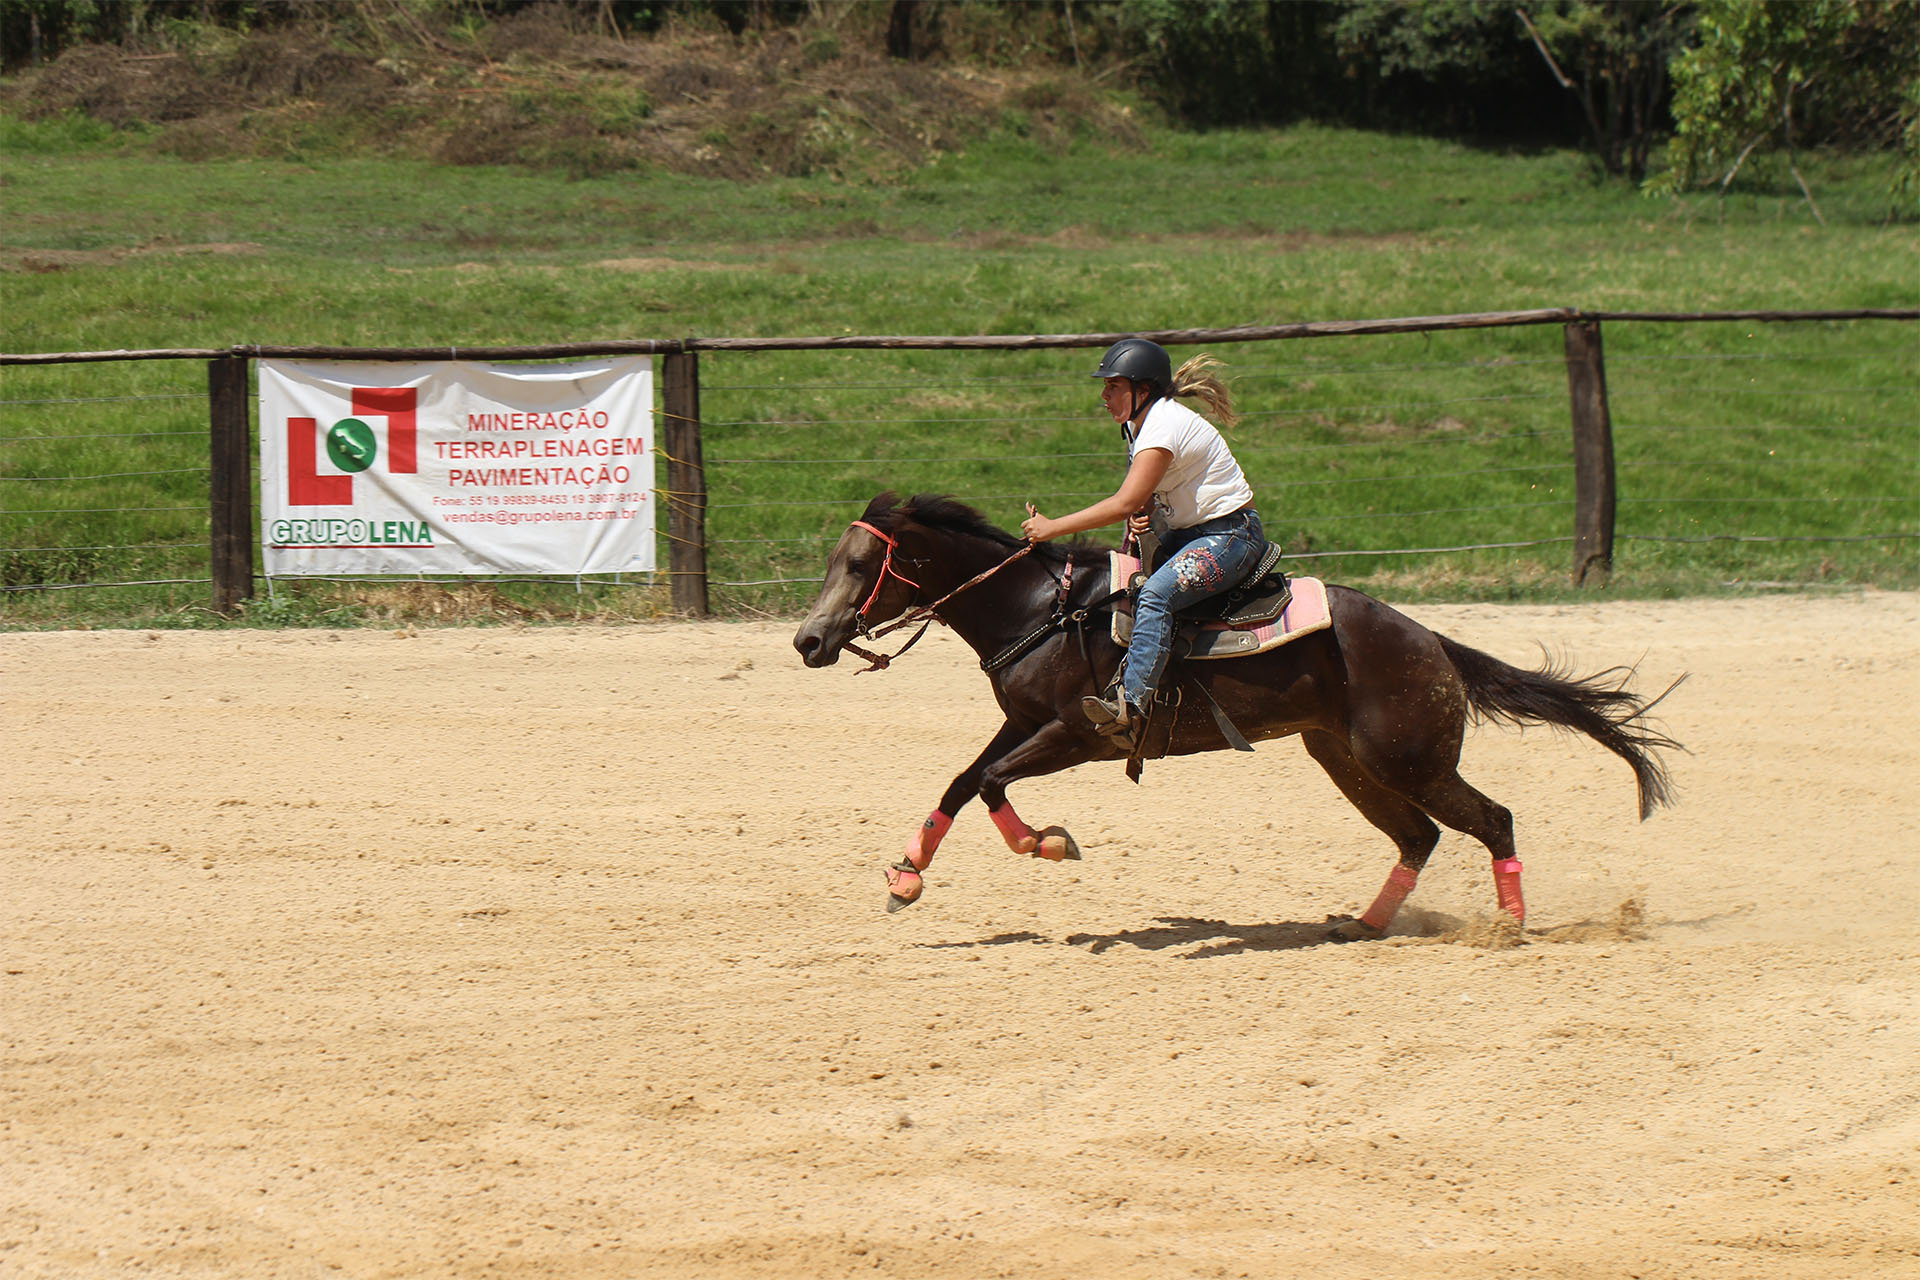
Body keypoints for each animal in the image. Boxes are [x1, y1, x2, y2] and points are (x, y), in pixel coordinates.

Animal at [792, 492, 1683, 939]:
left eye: (863, 564)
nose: (807, 640)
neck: (1040, 609)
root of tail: (1428, 638)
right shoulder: (1022, 724)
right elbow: (961, 781)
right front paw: (906, 876)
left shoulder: (1080, 734)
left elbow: (991, 786)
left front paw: (1048, 842)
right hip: (1348, 759)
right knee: (1419, 837)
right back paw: (1363, 925)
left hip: (1410, 757)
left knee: (1491, 820)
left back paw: (1507, 928)